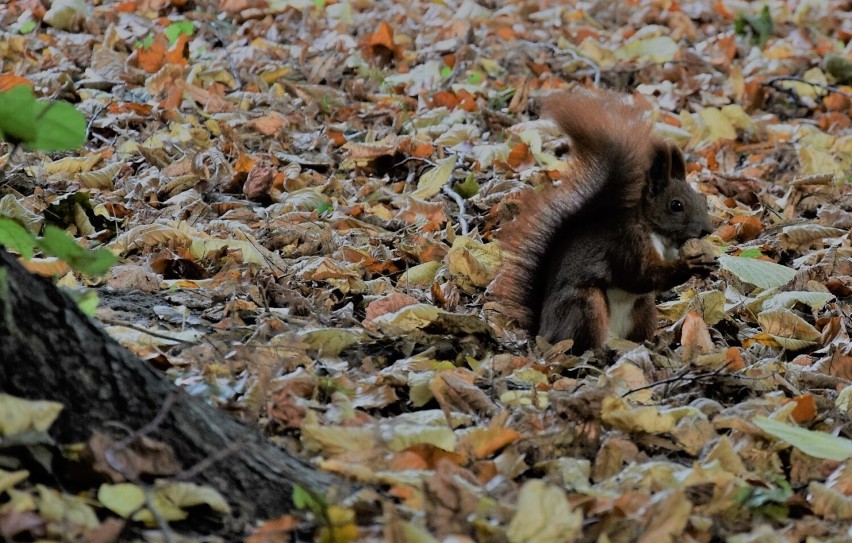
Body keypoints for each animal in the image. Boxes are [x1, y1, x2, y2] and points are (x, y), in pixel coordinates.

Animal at [492, 89, 720, 352]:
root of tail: (543, 330)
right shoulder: (627, 244)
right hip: (586, 305)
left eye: (702, 199)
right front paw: (690, 265)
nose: (707, 230)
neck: (659, 236)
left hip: (643, 310)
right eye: (676, 205)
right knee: (580, 340)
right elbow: (638, 276)